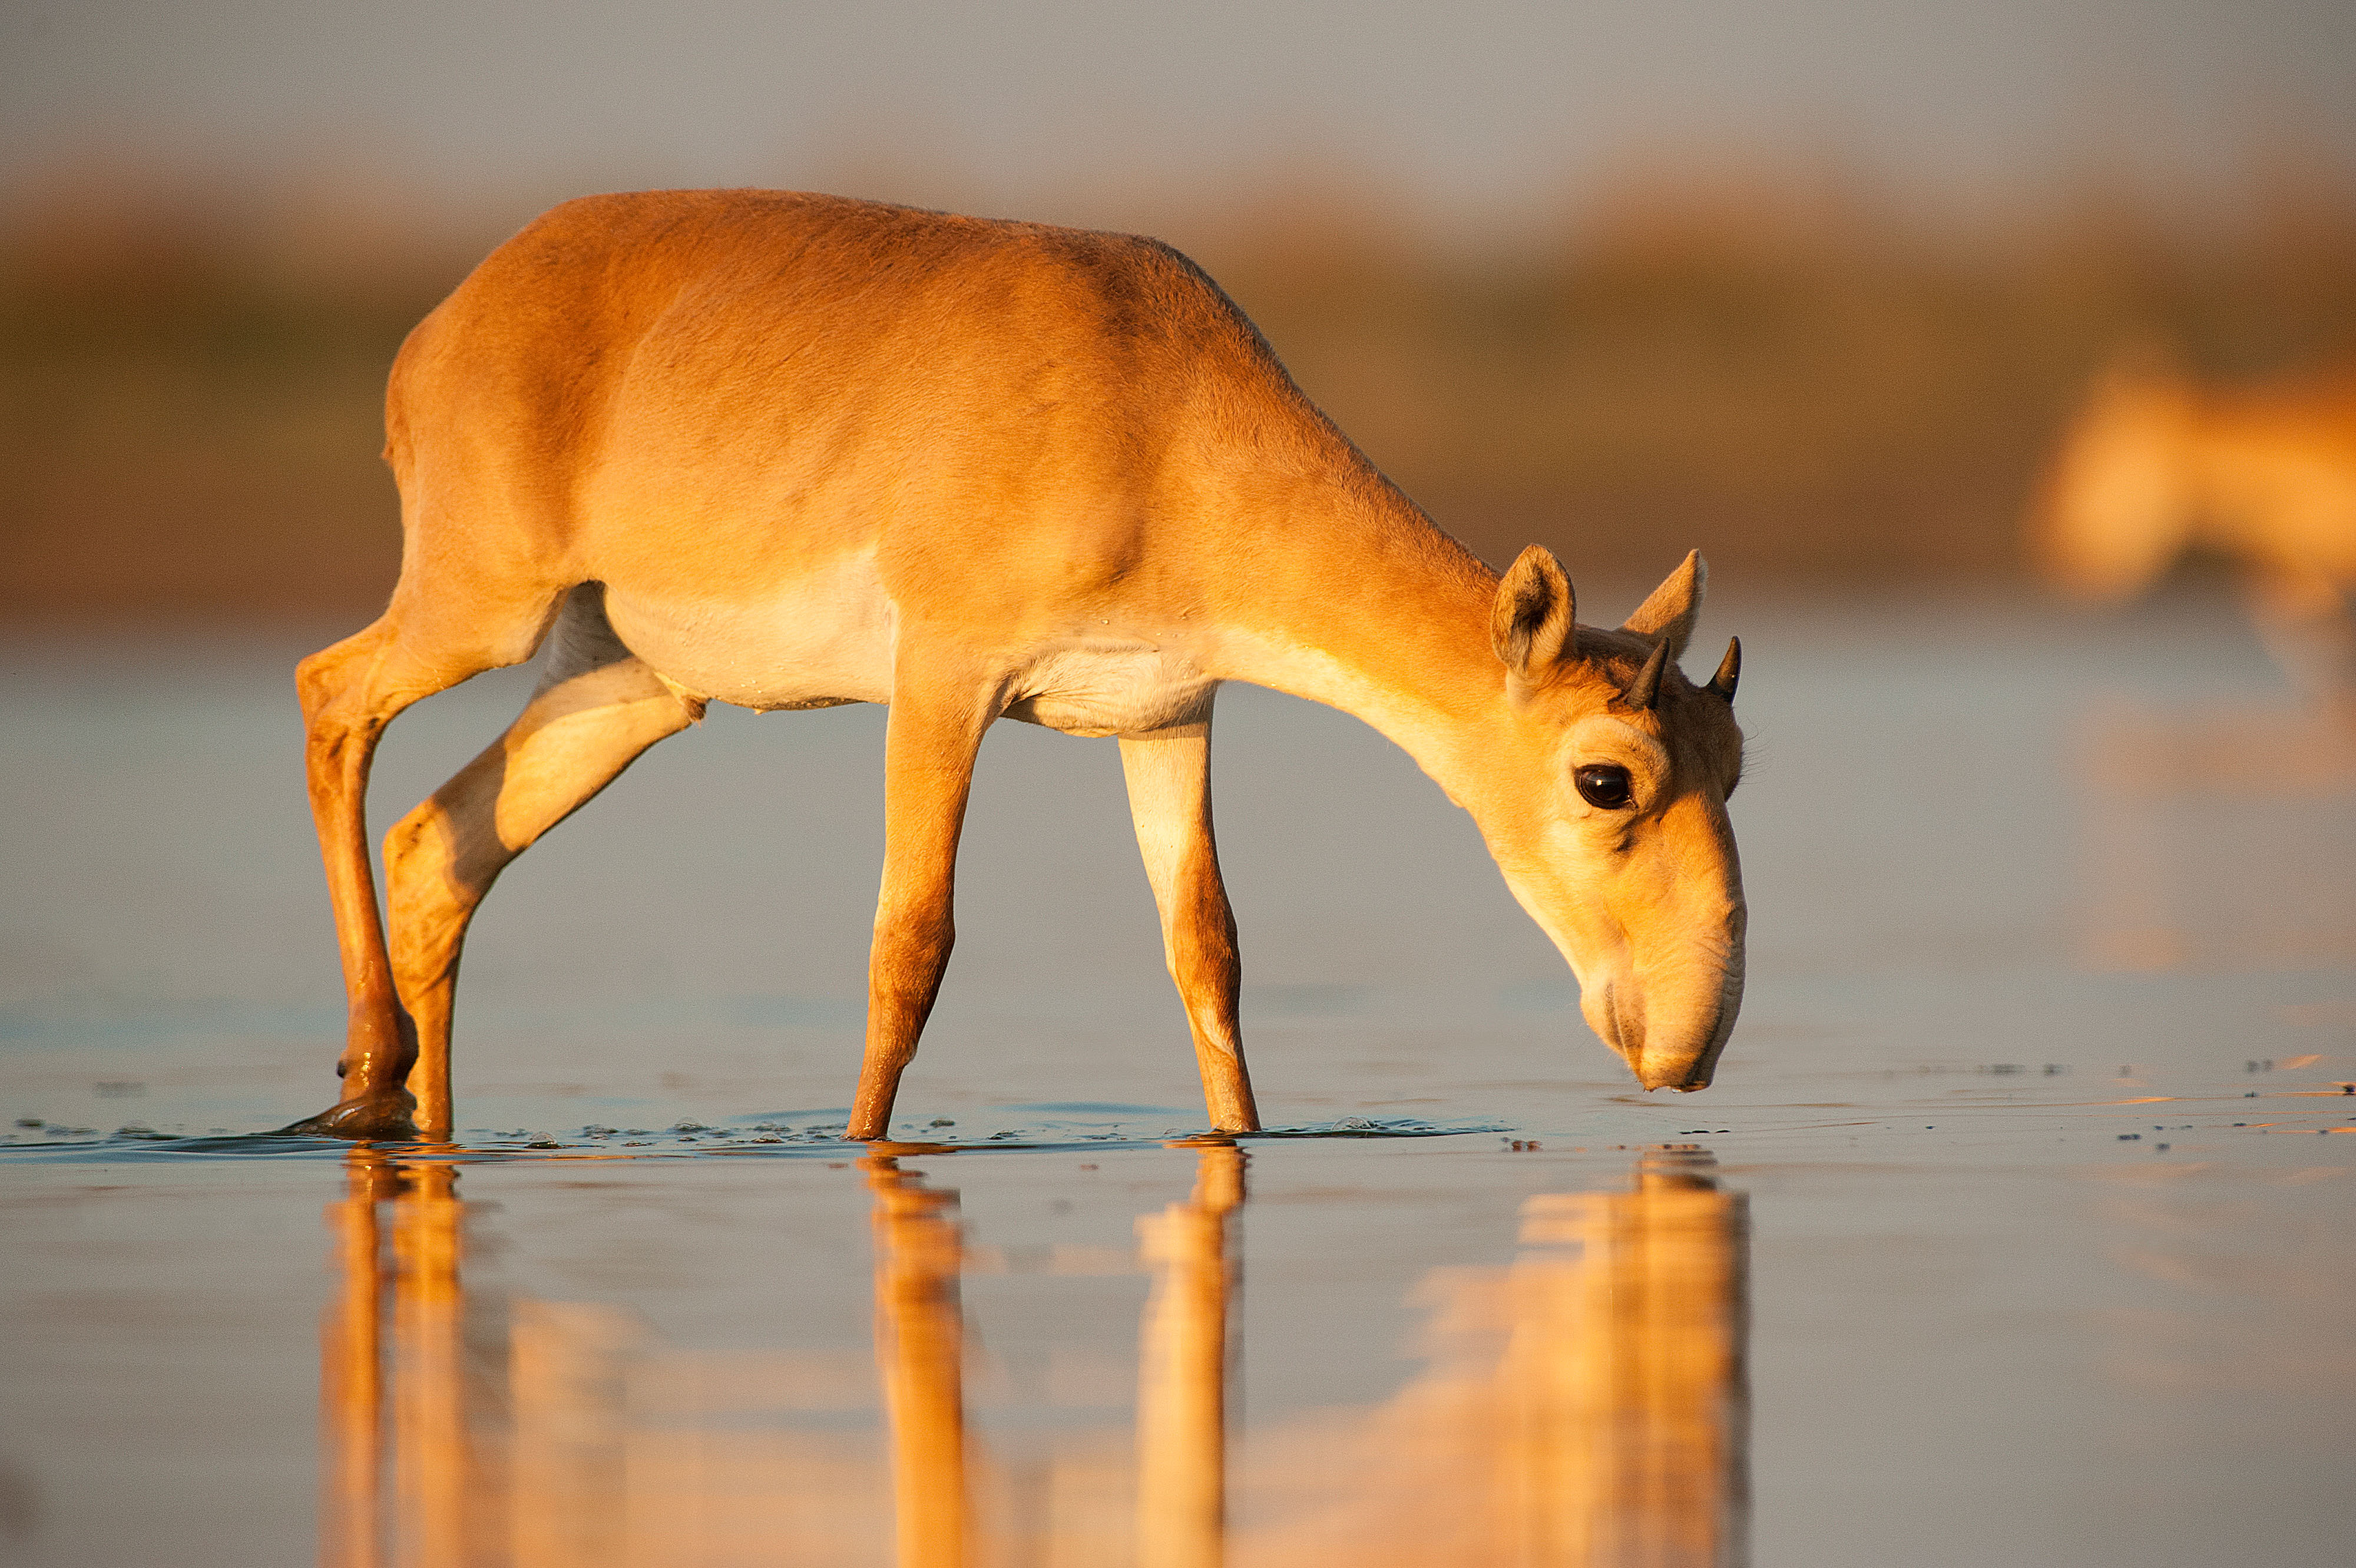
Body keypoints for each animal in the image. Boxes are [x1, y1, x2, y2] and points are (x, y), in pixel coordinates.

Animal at [285, 189, 1743, 1144]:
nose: (1696, 1037)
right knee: (328, 695)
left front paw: (1241, 1136)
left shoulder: (1167, 715)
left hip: (628, 685)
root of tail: (439, 326)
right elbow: (910, 940)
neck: (1158, 411)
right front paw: (864, 1145)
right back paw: (369, 1063)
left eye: (1735, 760)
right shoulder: (946, 680)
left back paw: (417, 1125)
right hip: (480, 610)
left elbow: (1205, 946)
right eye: (1606, 777)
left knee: (438, 847)